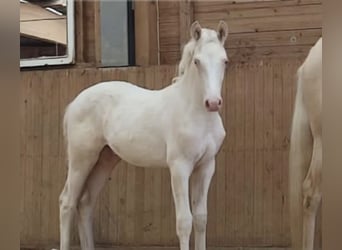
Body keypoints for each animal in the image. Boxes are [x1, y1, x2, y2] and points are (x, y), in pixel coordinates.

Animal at [59, 21, 230, 250]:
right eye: (197, 61)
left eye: (224, 61)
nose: (212, 102)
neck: (194, 112)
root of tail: (75, 102)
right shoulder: (180, 167)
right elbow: (184, 221)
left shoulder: (206, 167)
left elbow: (201, 218)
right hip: (82, 159)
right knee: (67, 202)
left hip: (105, 160)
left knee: (85, 203)